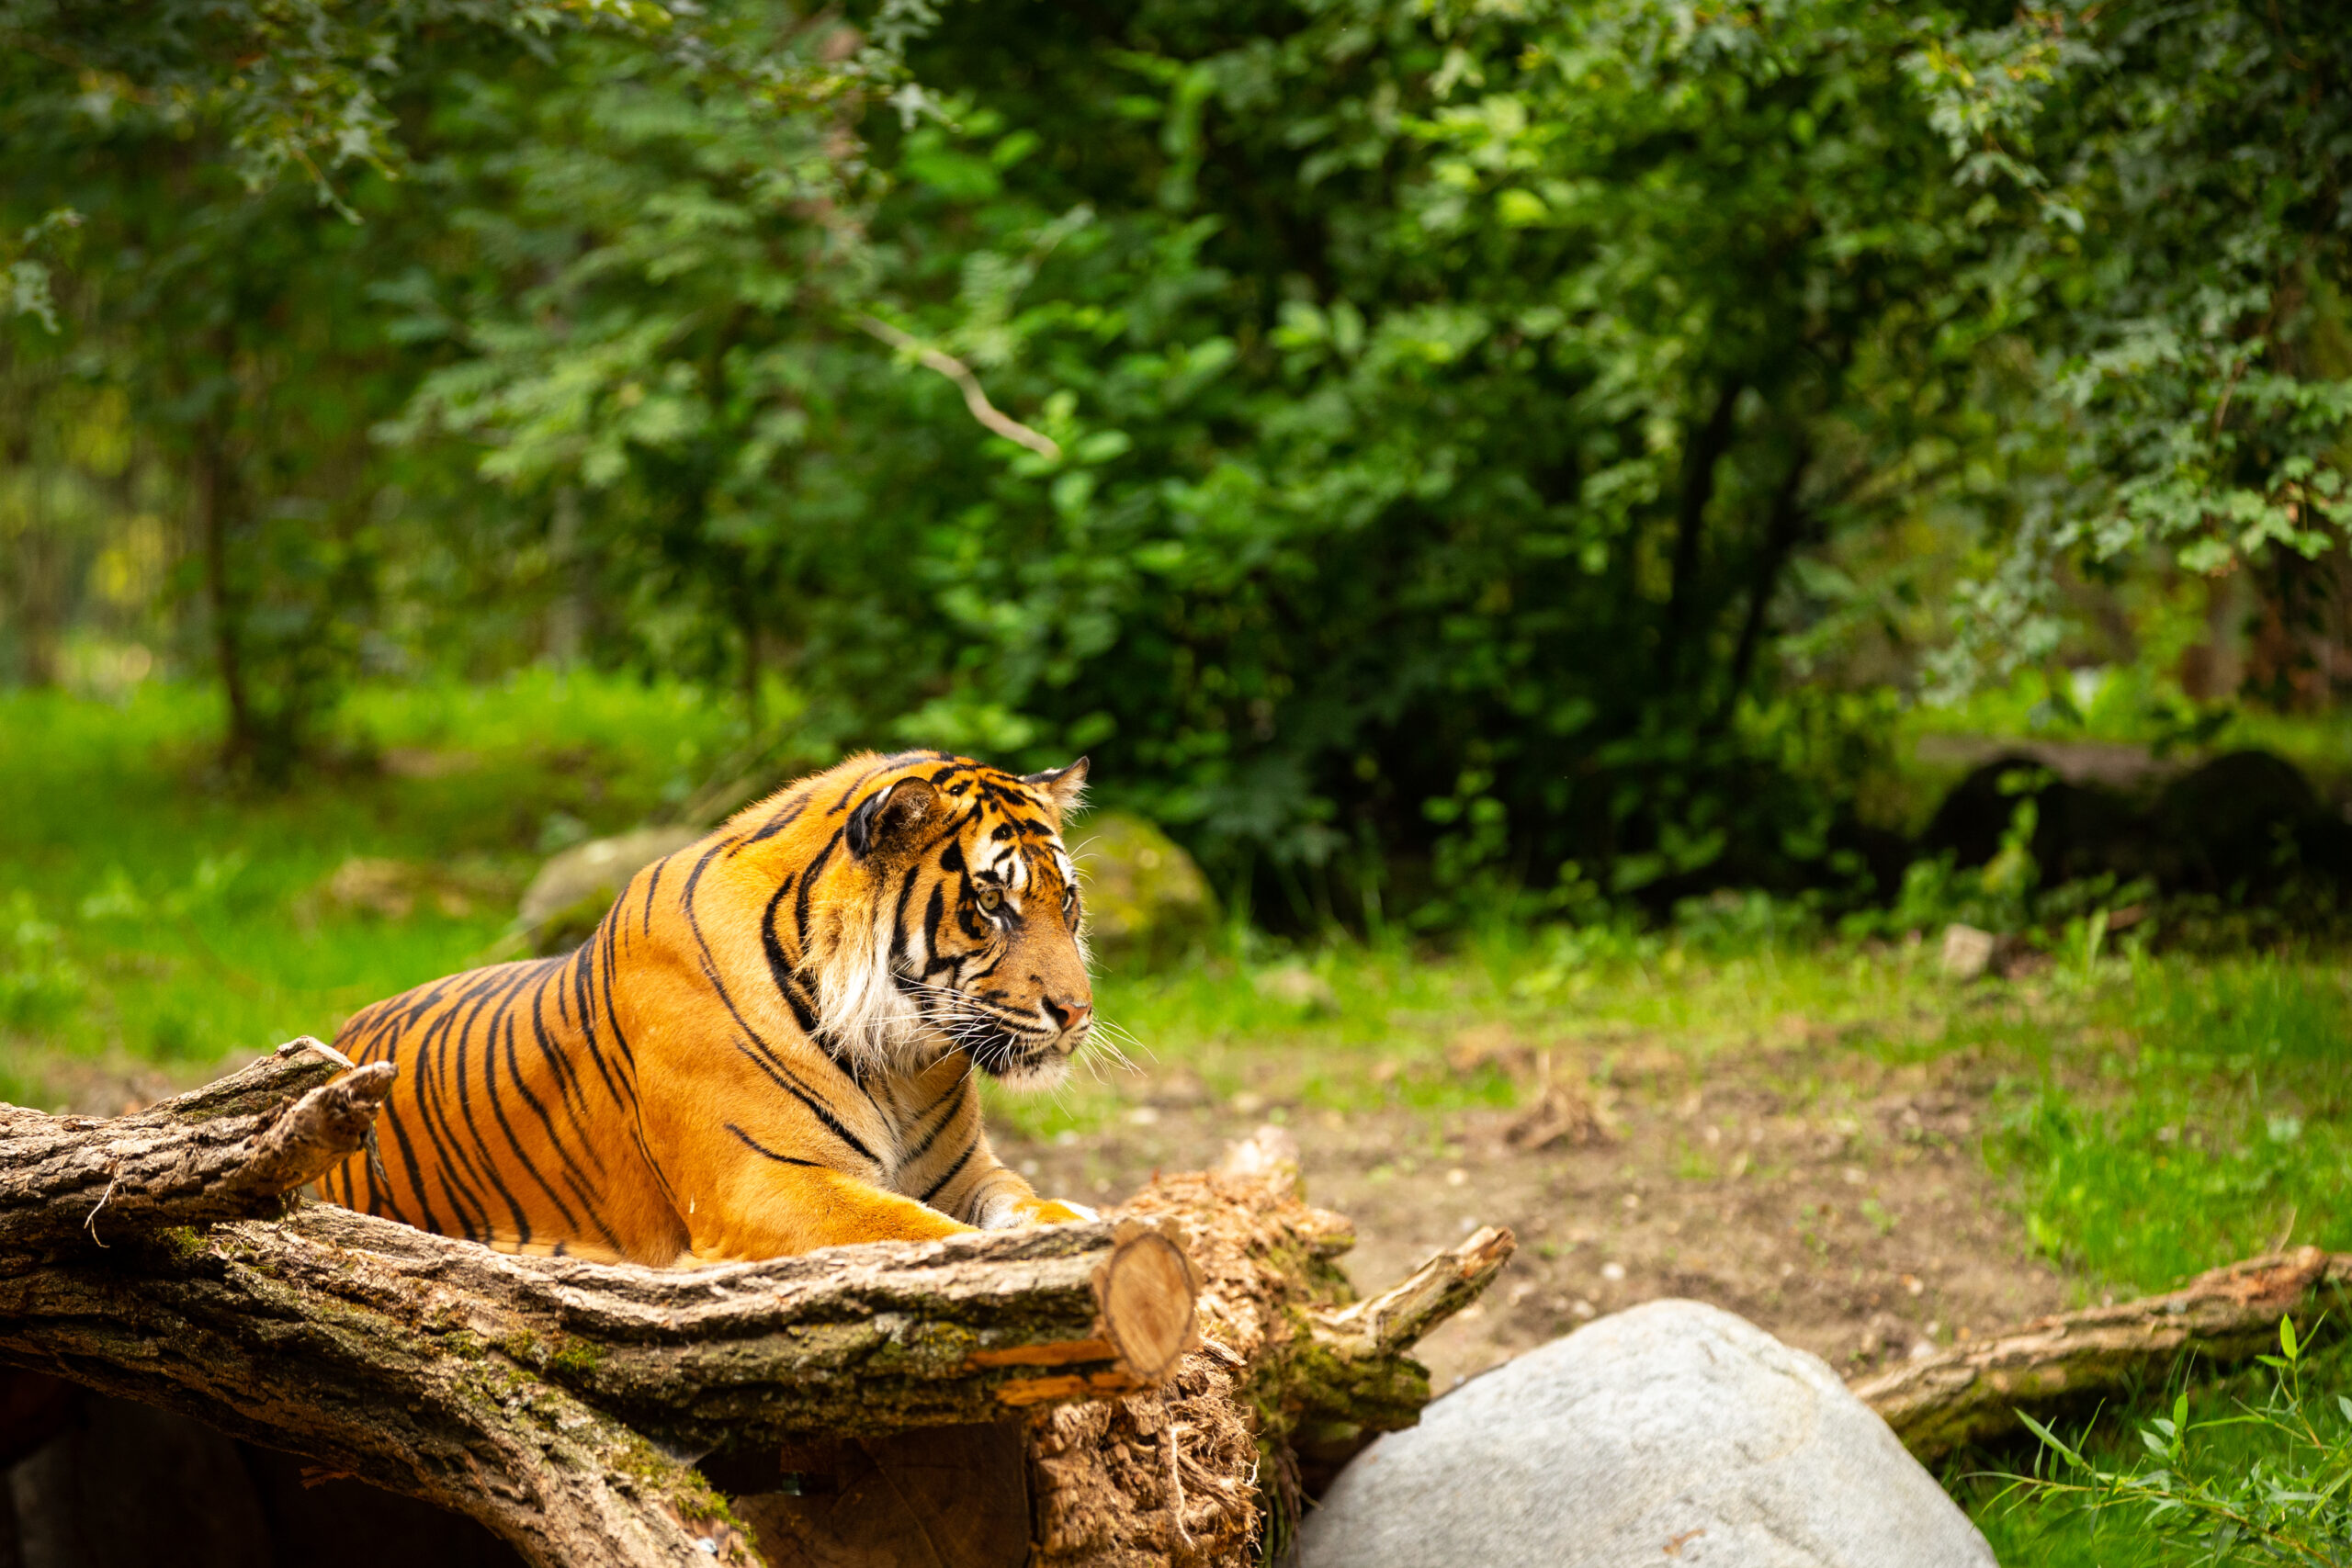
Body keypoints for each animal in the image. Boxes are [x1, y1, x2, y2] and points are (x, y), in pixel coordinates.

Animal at [315, 747, 1110, 1259]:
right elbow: (925, 1234)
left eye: (1067, 900)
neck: (901, 1060)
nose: (1077, 1011)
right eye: (991, 902)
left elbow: (1030, 1202)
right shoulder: (766, 1185)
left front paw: (1077, 1218)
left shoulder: (966, 1173)